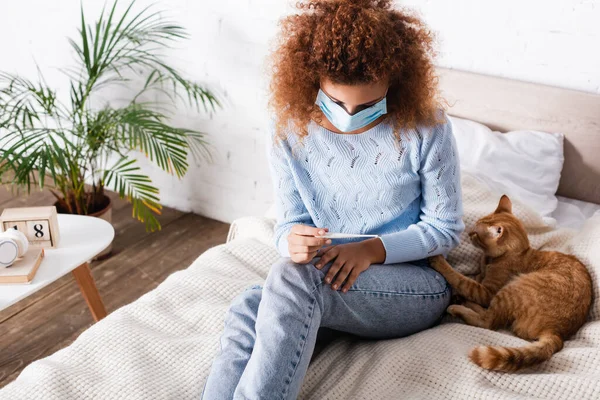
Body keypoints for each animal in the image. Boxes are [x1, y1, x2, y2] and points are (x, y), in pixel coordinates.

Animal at [428, 195, 592, 374]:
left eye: (476, 233)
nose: (469, 233)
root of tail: (557, 333)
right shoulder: (481, 277)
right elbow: (473, 278)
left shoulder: (487, 291)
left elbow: (462, 279)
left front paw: (439, 261)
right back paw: (461, 300)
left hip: (511, 289)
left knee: (489, 321)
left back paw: (458, 306)